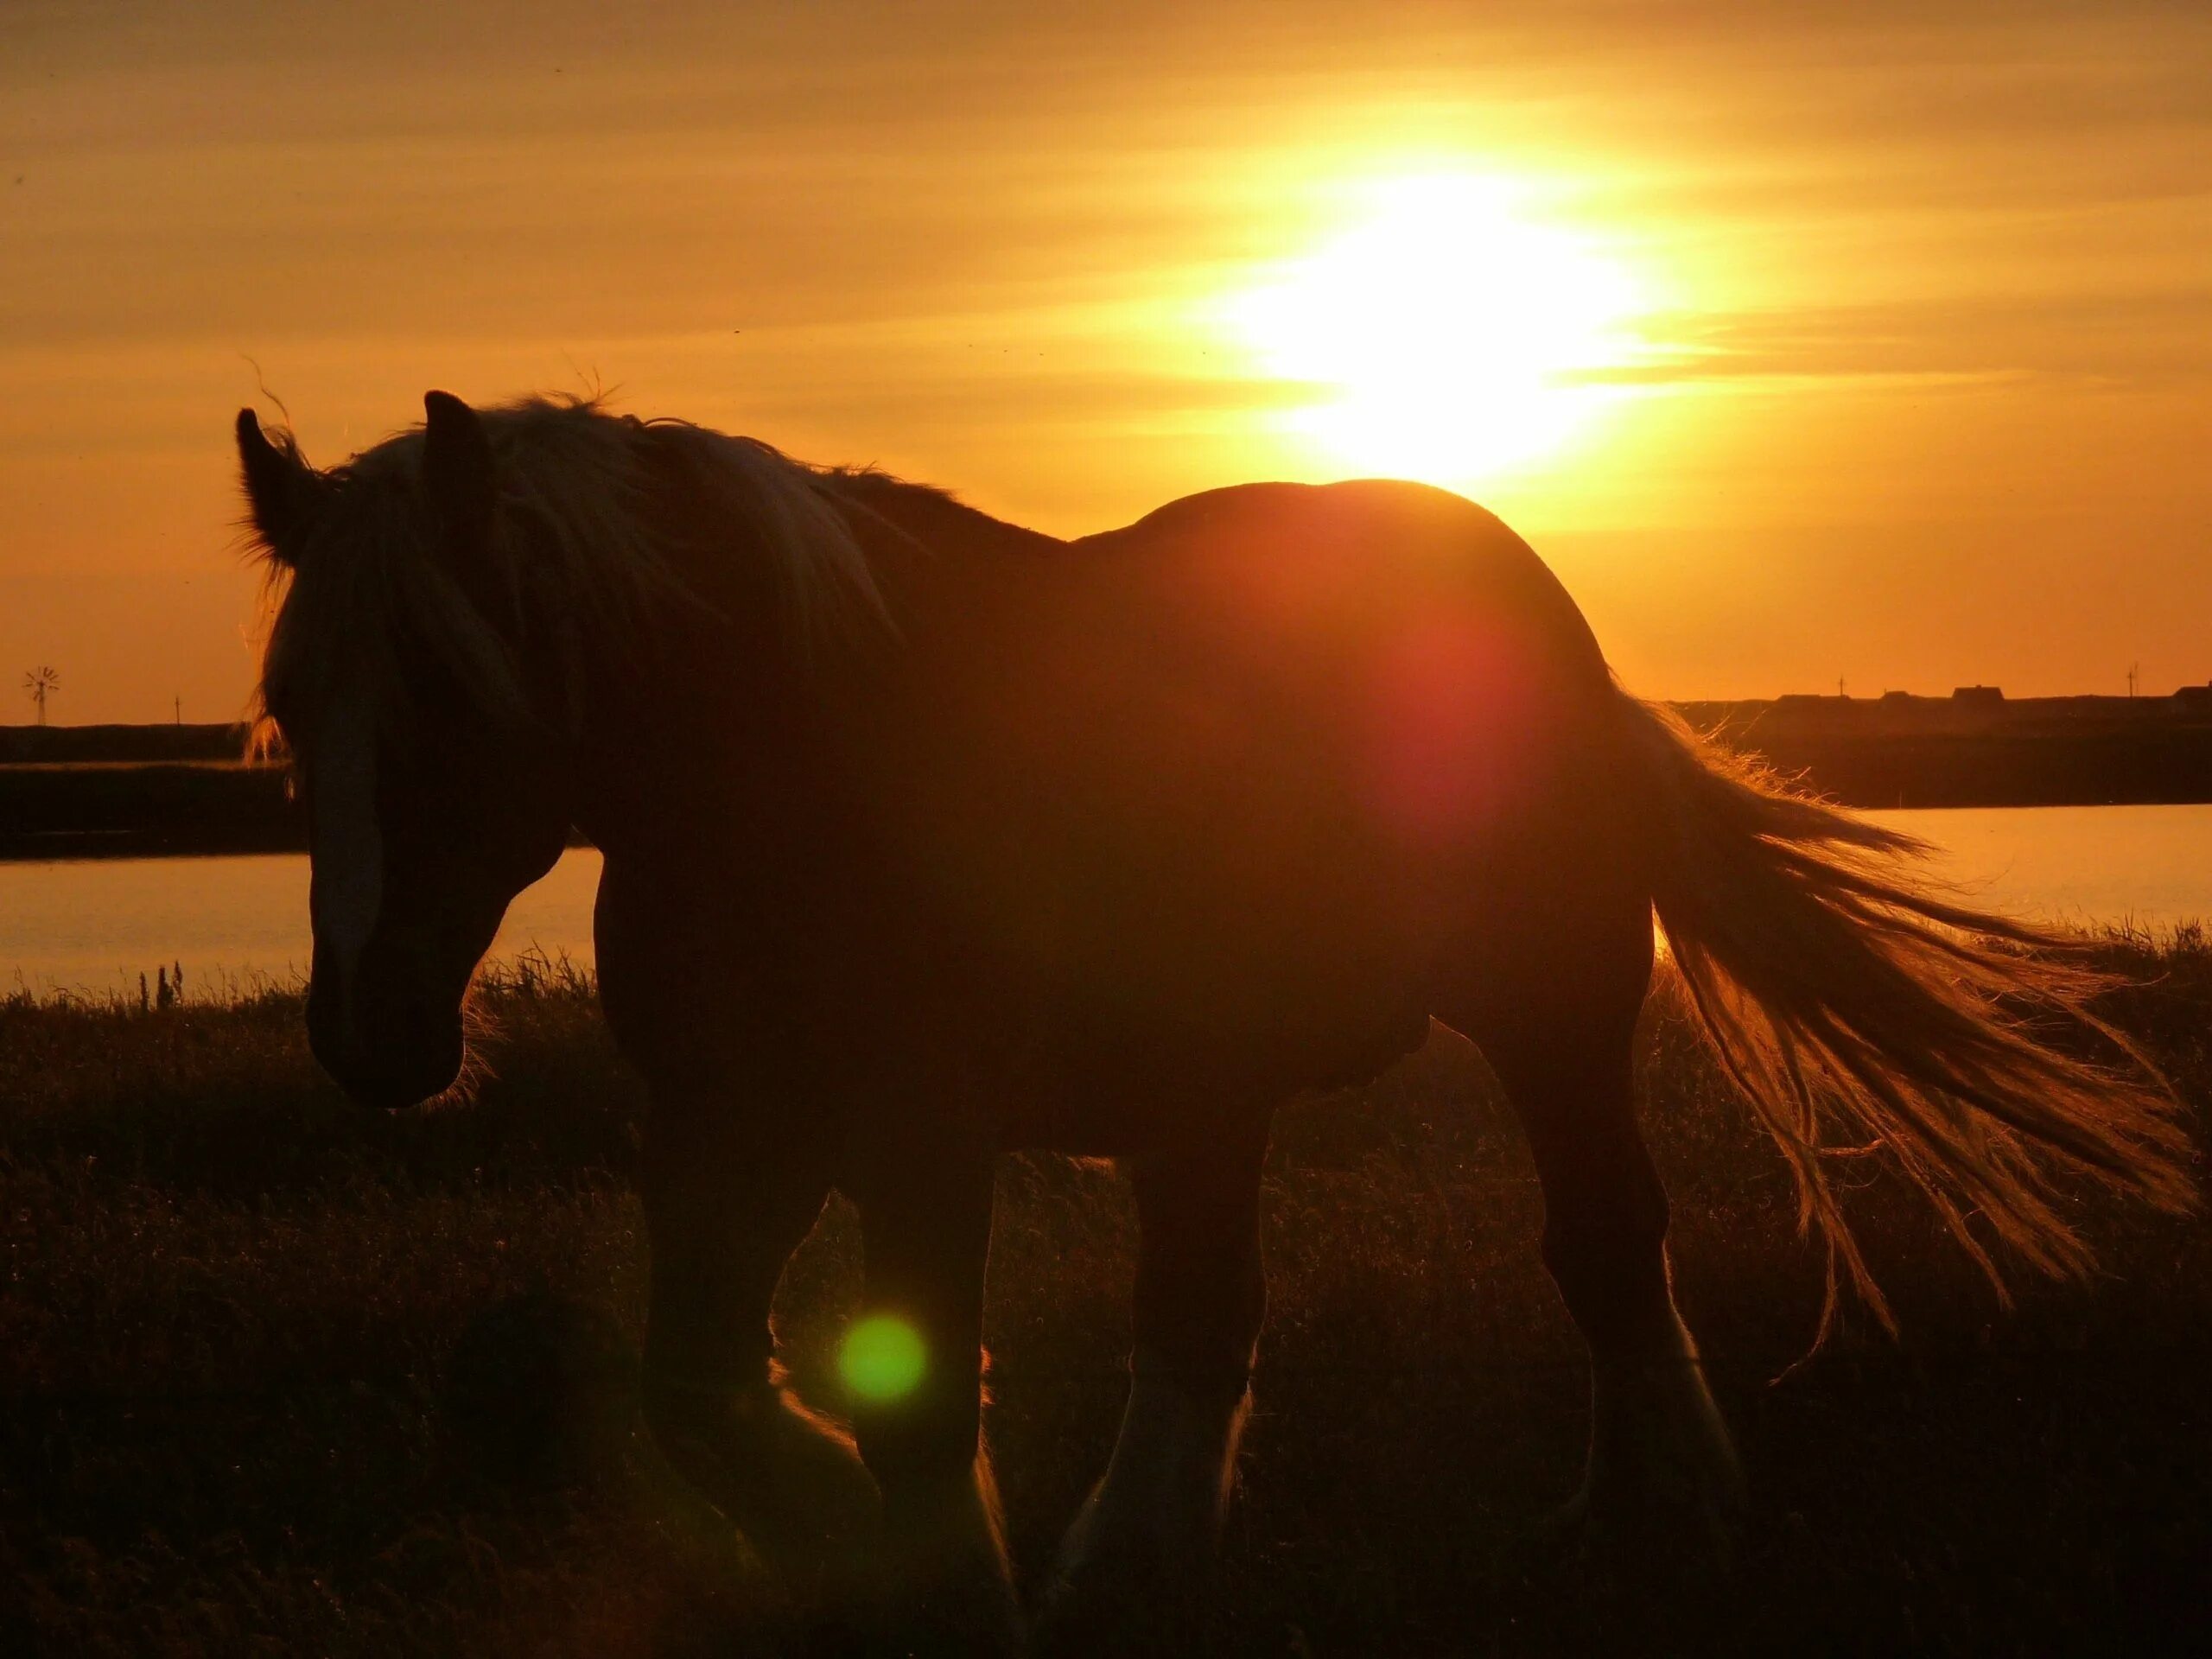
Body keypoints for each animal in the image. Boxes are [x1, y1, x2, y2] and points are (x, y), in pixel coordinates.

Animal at [238, 389, 2177, 1654]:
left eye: (444, 690)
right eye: (291, 708)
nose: (372, 1033)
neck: (810, 765)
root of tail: (1531, 598)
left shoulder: (921, 1137)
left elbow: (916, 1403)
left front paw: (946, 1589)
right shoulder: (728, 1132)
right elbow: (704, 1396)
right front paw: (867, 1551)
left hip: (1547, 1013)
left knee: (1607, 1242)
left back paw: (1658, 1512)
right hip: (1201, 1100)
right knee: (1203, 1311)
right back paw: (1134, 1565)